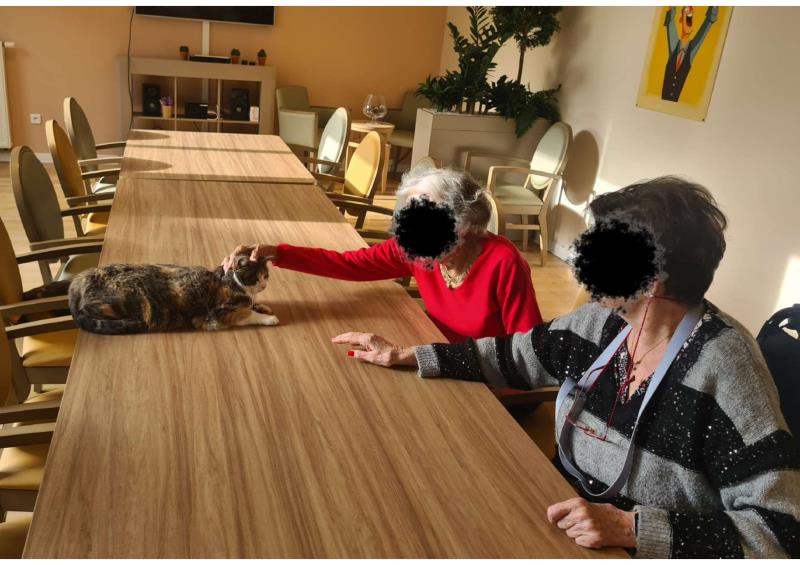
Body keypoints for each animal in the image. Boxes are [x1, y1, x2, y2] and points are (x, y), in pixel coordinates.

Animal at [68, 254, 278, 335]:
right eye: (256, 277)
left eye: (266, 276)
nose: (264, 284)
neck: (231, 280)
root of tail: (76, 284)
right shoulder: (220, 313)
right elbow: (248, 313)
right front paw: (270, 318)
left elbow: (253, 304)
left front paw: (264, 306)